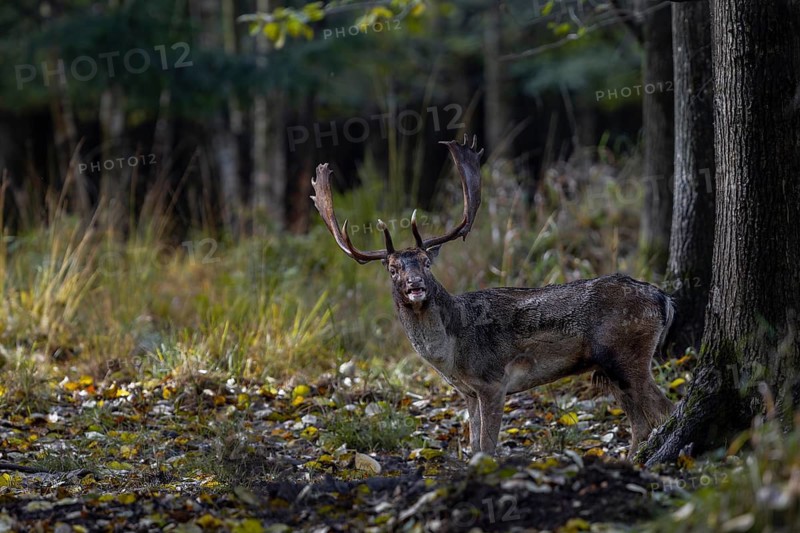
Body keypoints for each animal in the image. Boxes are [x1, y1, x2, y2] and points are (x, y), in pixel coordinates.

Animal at [311, 135, 674, 456]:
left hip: (627, 355)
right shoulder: (468, 392)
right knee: (644, 421)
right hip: (612, 367)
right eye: (392, 268)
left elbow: (487, 446)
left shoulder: (492, 380)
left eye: (427, 262)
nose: (416, 285)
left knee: (663, 410)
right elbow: (473, 445)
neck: (451, 355)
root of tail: (662, 298)